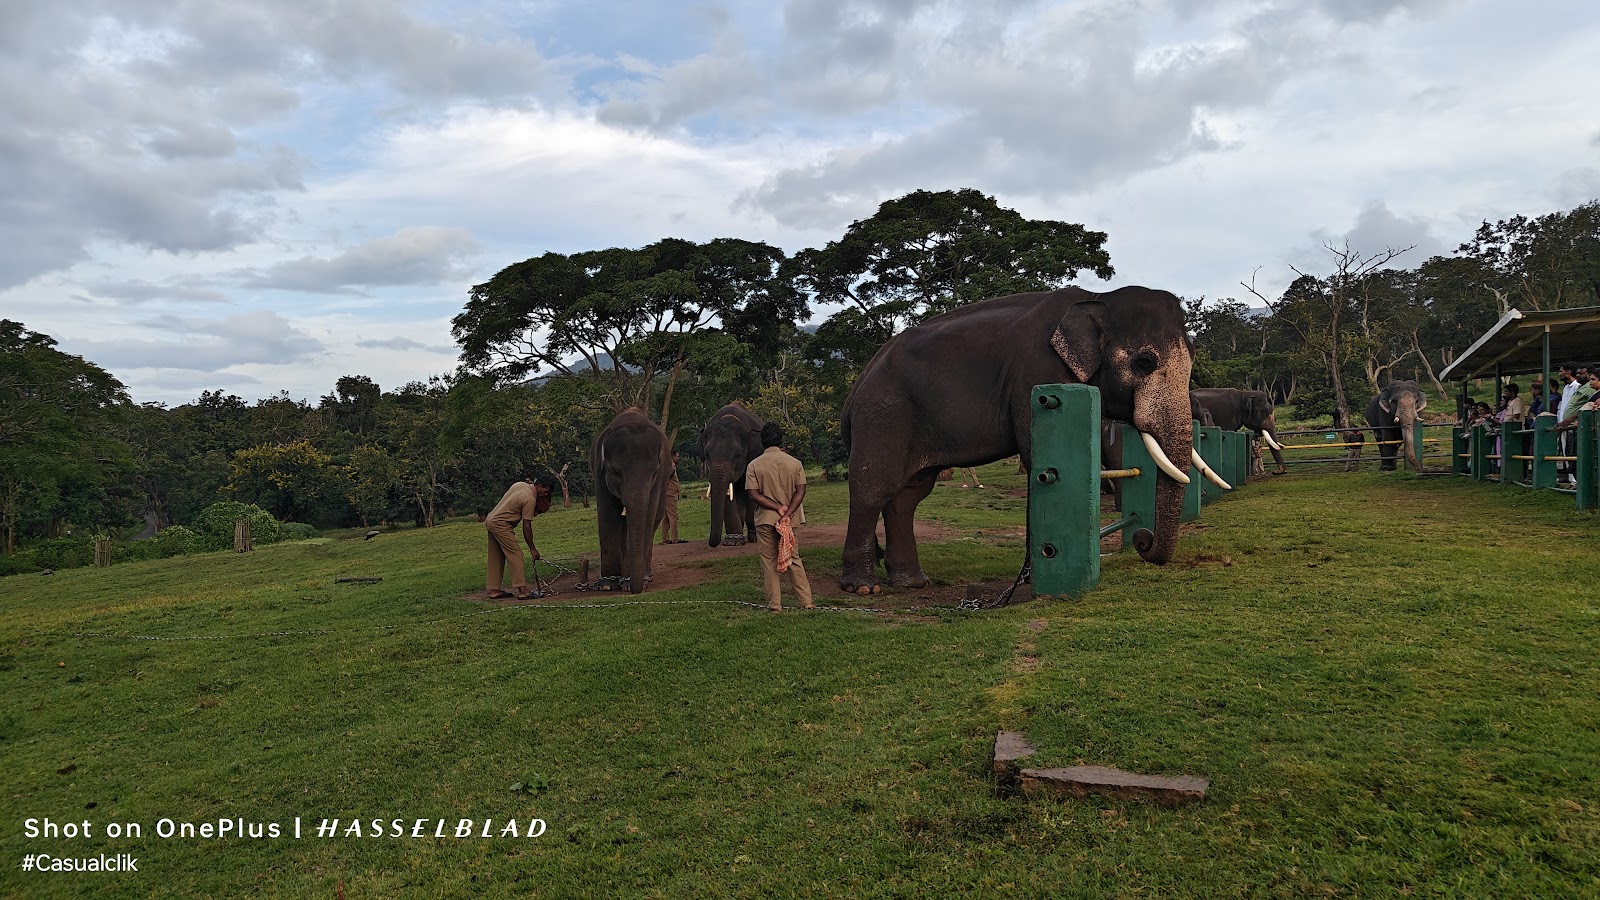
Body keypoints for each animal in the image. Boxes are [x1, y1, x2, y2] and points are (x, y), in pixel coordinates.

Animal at [592, 408, 672, 594]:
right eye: (616, 472)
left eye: (654, 473)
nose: (637, 590)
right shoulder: (599, 472)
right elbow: (608, 514)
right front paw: (607, 584)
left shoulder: (658, 480)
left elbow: (648, 515)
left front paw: (629, 584)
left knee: (654, 519)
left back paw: (646, 576)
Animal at [697, 402, 764, 547]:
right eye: (707, 454)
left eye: (737, 455)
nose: (712, 543)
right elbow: (728, 493)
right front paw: (733, 542)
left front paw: (754, 537)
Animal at [838, 285, 1199, 594]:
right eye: (1145, 362)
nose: (1142, 539)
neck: (1098, 298)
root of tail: (857, 385)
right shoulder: (1037, 375)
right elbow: (1033, 457)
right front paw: (1031, 578)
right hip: (884, 415)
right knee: (873, 487)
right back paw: (863, 588)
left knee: (909, 495)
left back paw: (911, 583)